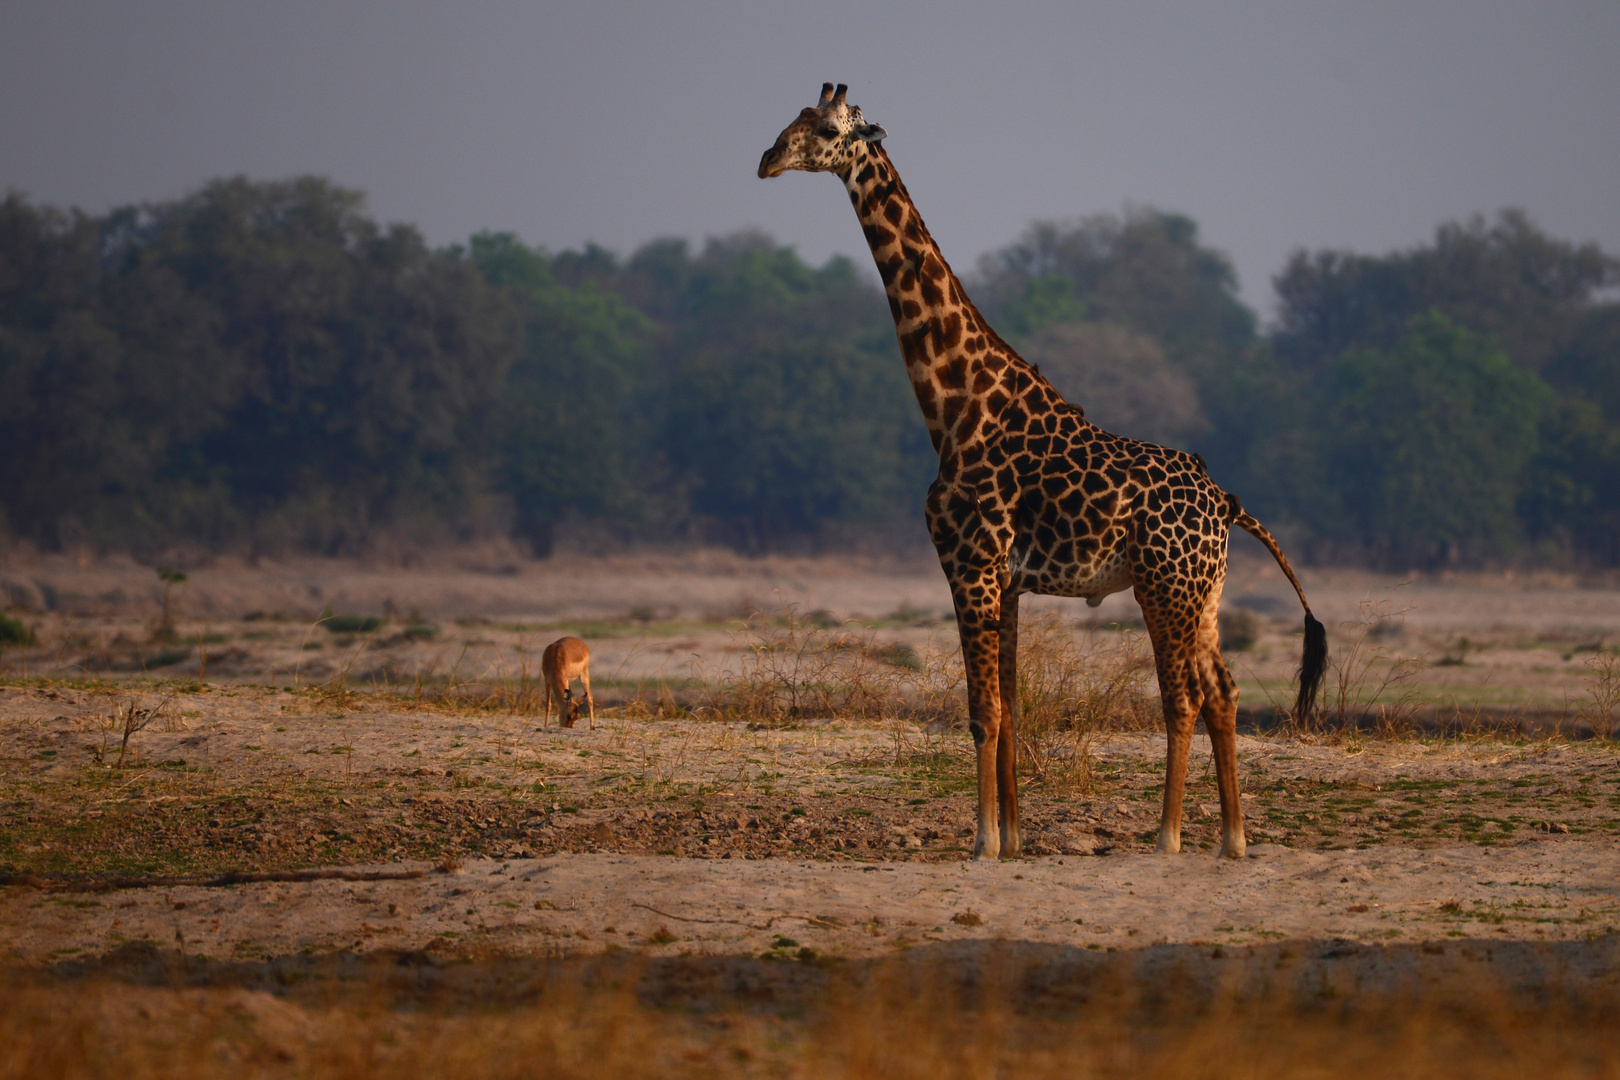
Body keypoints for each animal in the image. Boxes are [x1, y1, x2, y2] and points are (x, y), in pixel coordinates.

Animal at [758, 82, 1328, 861]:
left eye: (824, 128)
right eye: (795, 118)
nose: (766, 158)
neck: (955, 407)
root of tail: (1230, 504)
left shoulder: (967, 563)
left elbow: (982, 711)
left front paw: (980, 843)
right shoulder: (1007, 579)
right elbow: (1012, 706)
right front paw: (1014, 839)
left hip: (1164, 588)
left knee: (1182, 696)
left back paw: (1168, 837)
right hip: (1204, 592)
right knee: (1224, 691)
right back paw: (1233, 840)